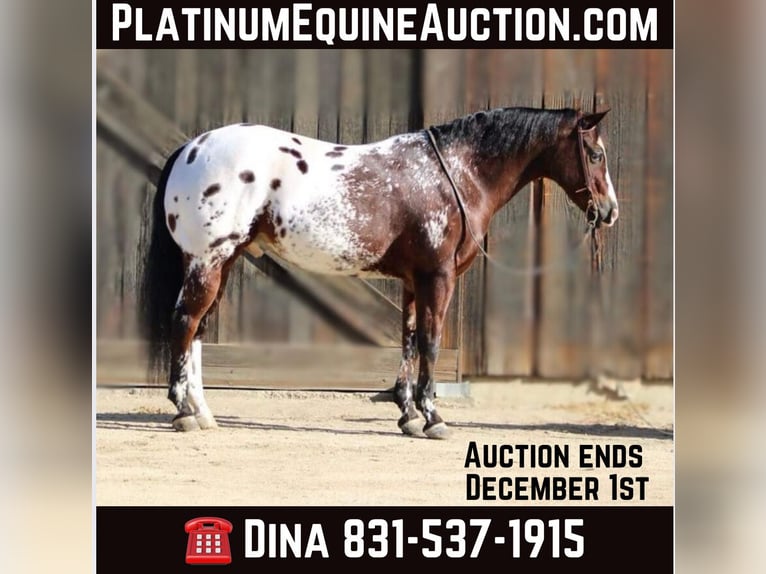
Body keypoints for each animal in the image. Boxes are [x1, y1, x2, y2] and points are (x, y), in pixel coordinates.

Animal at [139, 106, 618, 439]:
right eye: (595, 154)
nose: (610, 211)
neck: (455, 174)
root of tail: (191, 148)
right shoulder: (437, 278)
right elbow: (430, 342)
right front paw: (433, 417)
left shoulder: (413, 281)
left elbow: (408, 340)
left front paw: (408, 415)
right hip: (208, 260)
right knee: (185, 322)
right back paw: (182, 412)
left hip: (220, 262)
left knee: (198, 329)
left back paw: (203, 412)